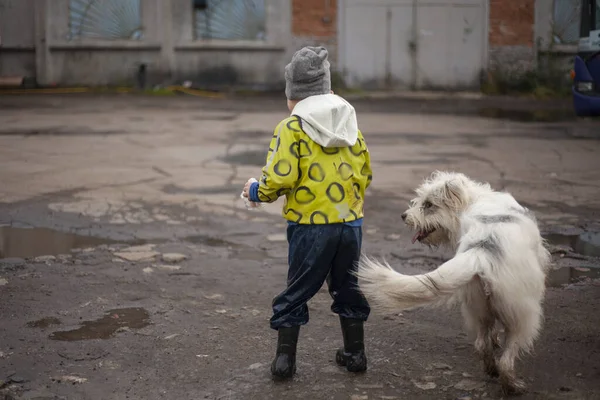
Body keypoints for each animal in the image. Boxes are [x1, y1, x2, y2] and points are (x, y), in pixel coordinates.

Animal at [358, 170, 552, 396]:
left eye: (429, 204)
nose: (404, 216)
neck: (473, 199)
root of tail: (481, 251)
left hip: (478, 304)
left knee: (482, 344)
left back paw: (491, 368)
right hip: (523, 315)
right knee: (507, 355)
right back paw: (511, 384)